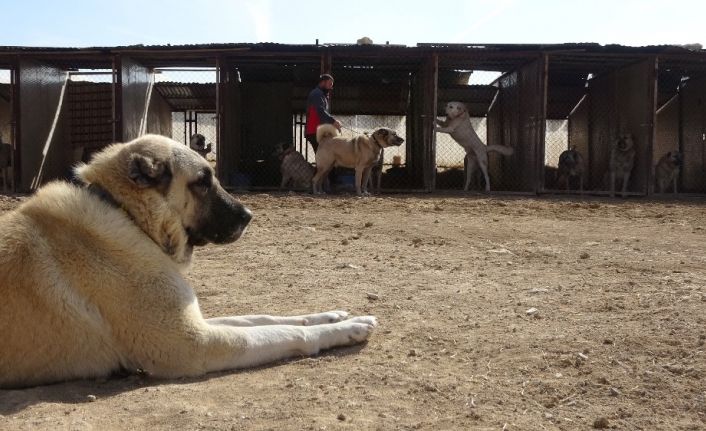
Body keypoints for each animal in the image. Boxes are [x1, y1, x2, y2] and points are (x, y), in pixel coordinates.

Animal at [0, 134, 376, 388]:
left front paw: (331, 316)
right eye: (202, 182)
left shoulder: (195, 319)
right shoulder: (193, 344)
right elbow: (281, 332)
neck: (127, 215)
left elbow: (267, 317)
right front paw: (347, 328)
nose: (249, 215)